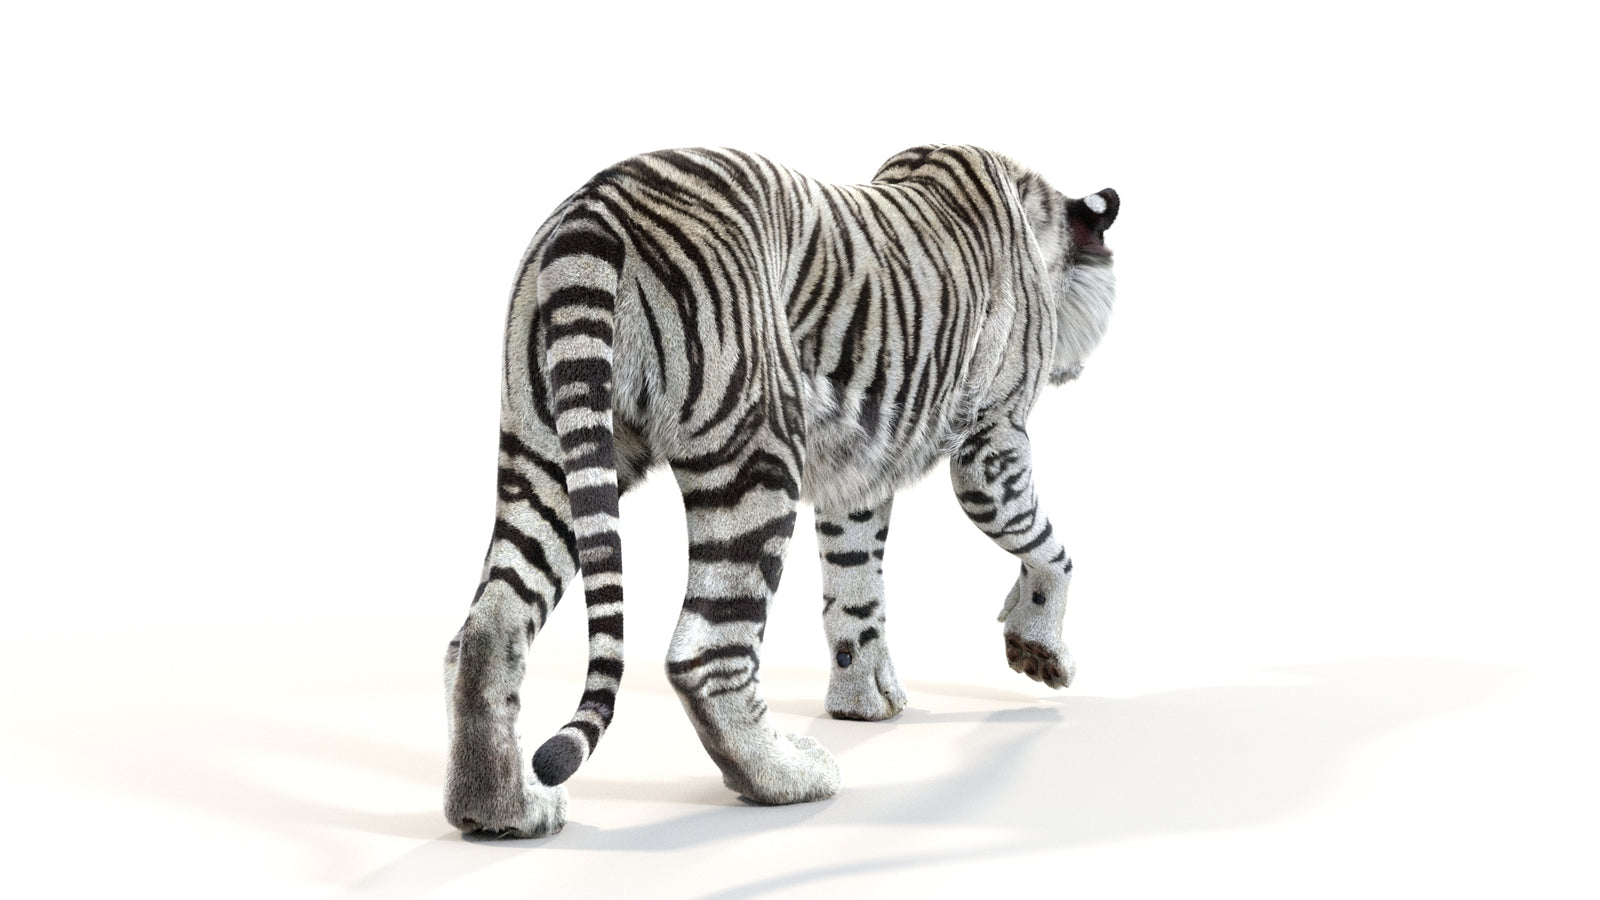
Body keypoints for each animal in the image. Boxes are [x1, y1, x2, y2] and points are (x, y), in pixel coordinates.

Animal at [443, 144, 1119, 838]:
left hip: (549, 453)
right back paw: (788, 777)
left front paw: (864, 702)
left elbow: (856, 591)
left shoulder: (857, 475)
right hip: (756, 454)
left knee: (487, 628)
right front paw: (1039, 651)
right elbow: (1050, 551)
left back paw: (501, 809)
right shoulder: (991, 444)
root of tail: (599, 205)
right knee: (706, 653)